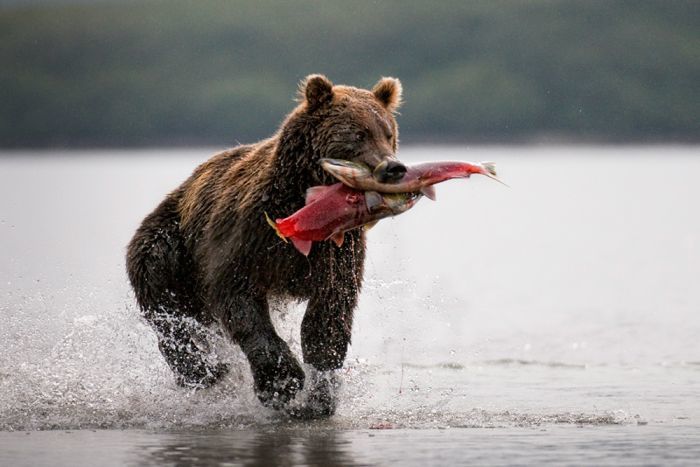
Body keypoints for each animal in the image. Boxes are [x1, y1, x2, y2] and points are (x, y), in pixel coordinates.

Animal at [127, 75, 404, 418]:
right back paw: (201, 371)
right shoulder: (249, 236)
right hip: (169, 245)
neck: (306, 204)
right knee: (168, 309)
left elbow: (329, 315)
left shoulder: (336, 251)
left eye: (388, 133)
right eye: (358, 133)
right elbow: (239, 300)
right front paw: (282, 382)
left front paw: (320, 397)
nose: (393, 168)